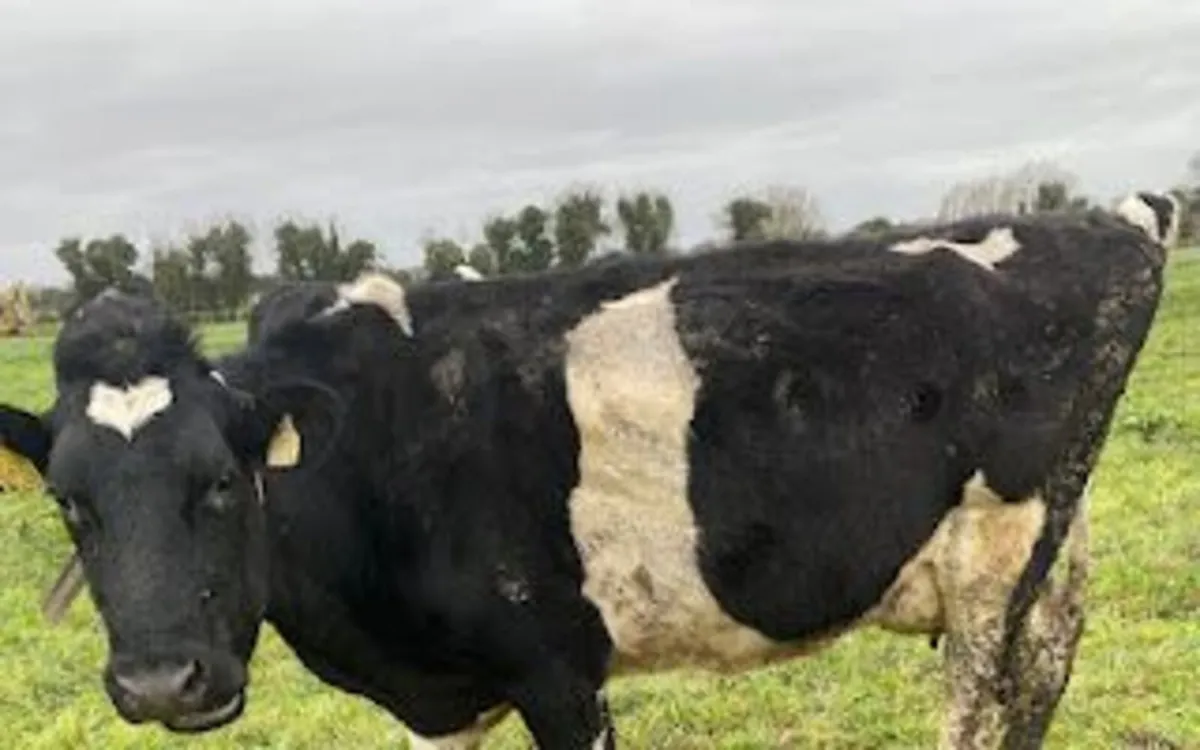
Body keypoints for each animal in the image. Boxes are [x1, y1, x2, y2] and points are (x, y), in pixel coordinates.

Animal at [0, 193, 1178, 749]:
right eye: (68, 503)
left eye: (219, 480)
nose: (163, 682)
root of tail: (1112, 221)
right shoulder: (441, 702)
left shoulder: (560, 671)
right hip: (1046, 574)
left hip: (996, 571)